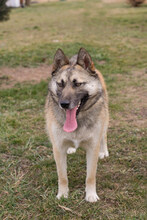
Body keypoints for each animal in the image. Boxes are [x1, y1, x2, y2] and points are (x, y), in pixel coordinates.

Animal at [45, 48, 109, 203]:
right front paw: (63, 194)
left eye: (77, 84)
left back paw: (104, 151)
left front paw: (91, 195)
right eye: (60, 84)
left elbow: (90, 176)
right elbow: (62, 176)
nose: (64, 104)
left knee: (104, 135)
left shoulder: (92, 148)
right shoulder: (58, 149)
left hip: (105, 120)